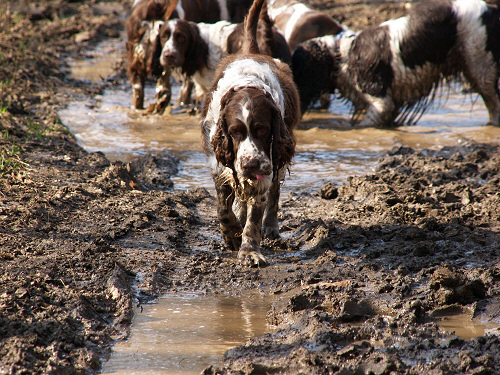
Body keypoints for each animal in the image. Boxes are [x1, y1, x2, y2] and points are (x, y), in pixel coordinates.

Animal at [201, 0, 298, 268]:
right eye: (234, 132)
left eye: (263, 129)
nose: (251, 164)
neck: (247, 85)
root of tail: (251, 49)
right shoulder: (218, 163)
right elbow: (223, 208)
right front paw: (232, 234)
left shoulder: (268, 162)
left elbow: (256, 213)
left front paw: (249, 251)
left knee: (274, 193)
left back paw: (271, 227)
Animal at [292, 0, 500, 128]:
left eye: (299, 72)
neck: (340, 55)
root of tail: (490, 9)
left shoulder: (381, 102)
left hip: (481, 65)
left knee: (493, 102)